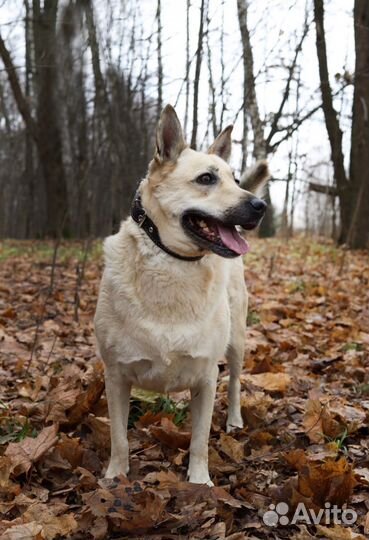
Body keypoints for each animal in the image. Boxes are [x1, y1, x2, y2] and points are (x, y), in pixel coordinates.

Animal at [93, 105, 268, 486]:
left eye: (235, 179)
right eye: (206, 179)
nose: (260, 205)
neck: (174, 263)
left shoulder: (206, 378)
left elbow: (199, 440)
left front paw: (199, 482)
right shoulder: (115, 376)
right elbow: (118, 437)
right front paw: (116, 476)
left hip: (237, 341)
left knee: (235, 382)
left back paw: (234, 419)